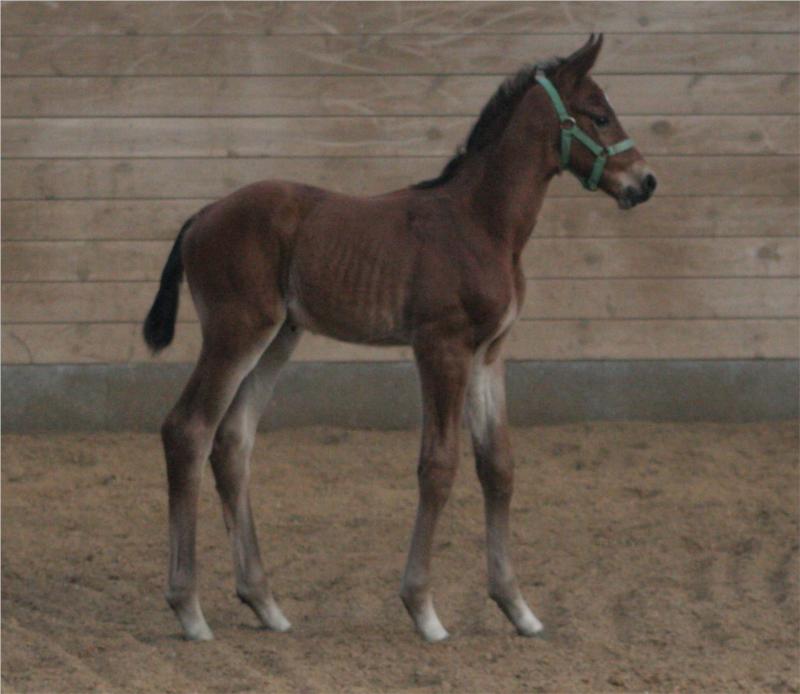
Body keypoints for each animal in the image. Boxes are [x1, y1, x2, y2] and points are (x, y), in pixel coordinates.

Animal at [144, 35, 656, 644]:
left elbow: (498, 466)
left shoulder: (489, 354)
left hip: (278, 340)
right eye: (599, 114)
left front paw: (517, 607)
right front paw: (424, 610)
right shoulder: (441, 347)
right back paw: (189, 610)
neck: (480, 223)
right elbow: (438, 466)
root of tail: (202, 215)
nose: (646, 181)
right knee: (188, 429)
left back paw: (265, 603)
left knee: (233, 441)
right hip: (236, 331)